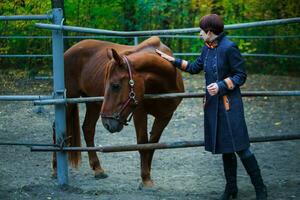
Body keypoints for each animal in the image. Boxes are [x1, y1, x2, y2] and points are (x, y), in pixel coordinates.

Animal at [52, 36, 184, 188]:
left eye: (115, 86)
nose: (108, 123)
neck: (164, 82)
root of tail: (68, 52)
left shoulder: (165, 116)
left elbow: (152, 144)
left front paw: (148, 175)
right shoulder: (139, 112)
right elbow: (143, 143)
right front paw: (145, 178)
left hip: (93, 104)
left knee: (88, 129)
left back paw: (98, 169)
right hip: (68, 101)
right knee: (57, 129)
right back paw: (55, 169)